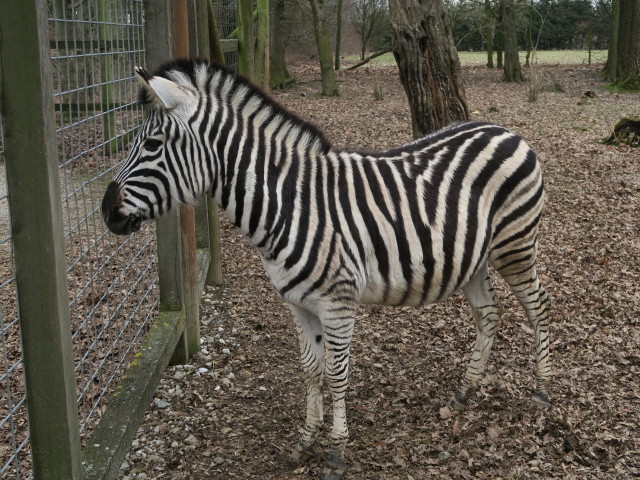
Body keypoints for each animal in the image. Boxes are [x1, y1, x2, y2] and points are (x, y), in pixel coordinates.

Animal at [102, 59, 551, 480]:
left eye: (153, 144)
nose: (106, 212)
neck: (289, 204)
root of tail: (505, 131)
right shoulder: (298, 304)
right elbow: (310, 370)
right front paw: (305, 441)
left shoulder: (338, 303)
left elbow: (336, 374)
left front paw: (336, 452)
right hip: (473, 258)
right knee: (488, 313)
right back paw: (465, 390)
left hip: (514, 245)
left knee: (539, 308)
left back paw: (542, 392)